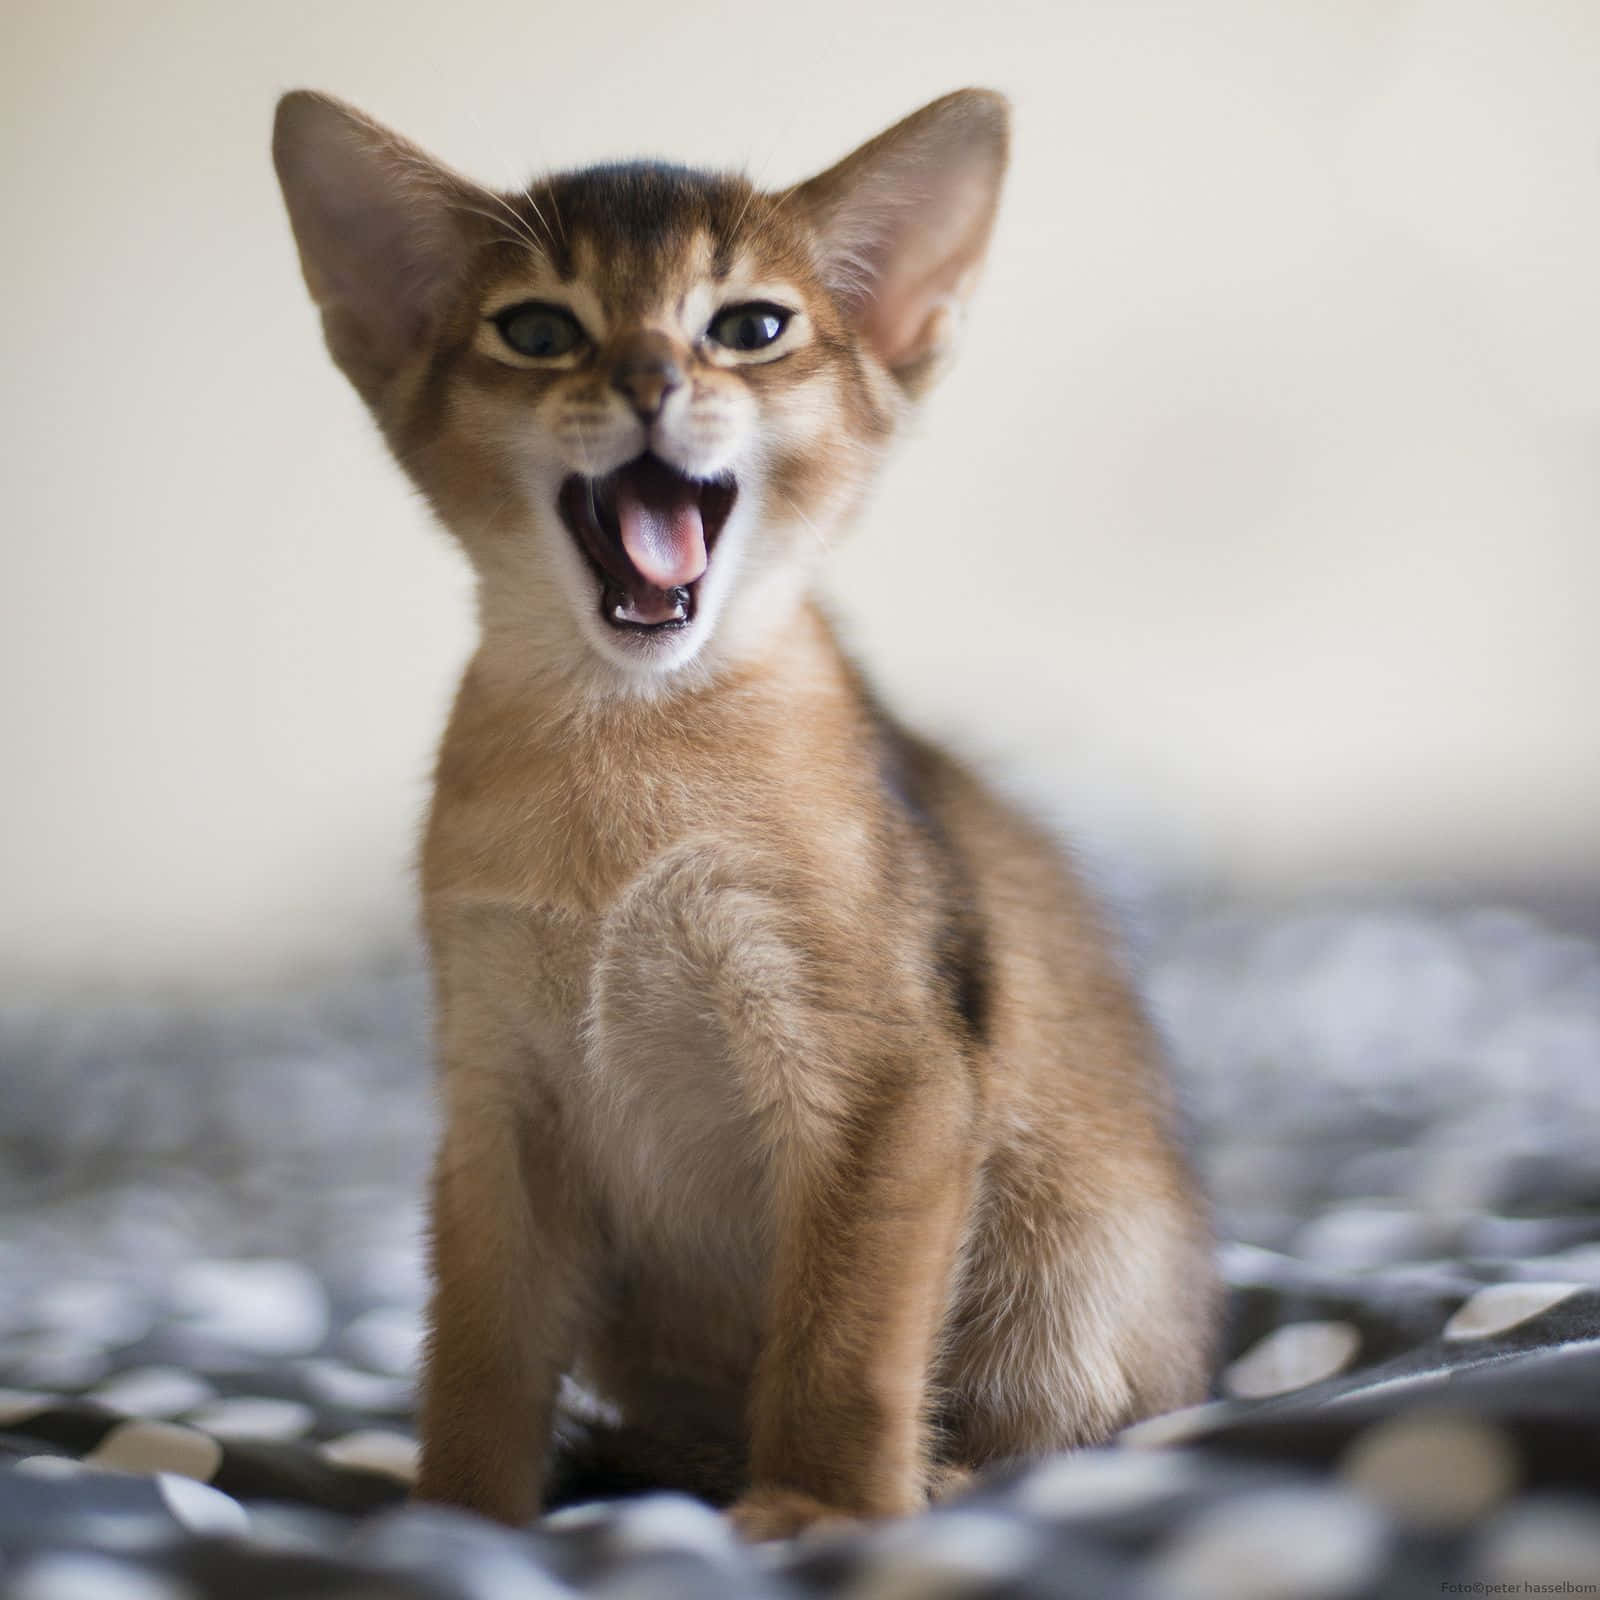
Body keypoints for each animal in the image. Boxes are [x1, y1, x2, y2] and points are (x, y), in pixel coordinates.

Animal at [275, 84, 1216, 1536]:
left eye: (749, 327)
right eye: (537, 330)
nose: (652, 382)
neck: (623, 743)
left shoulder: (890, 1078)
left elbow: (844, 1331)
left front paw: (819, 1508)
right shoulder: (496, 1103)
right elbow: (477, 1352)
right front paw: (457, 1520)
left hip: (1081, 1264)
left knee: (1072, 1434)